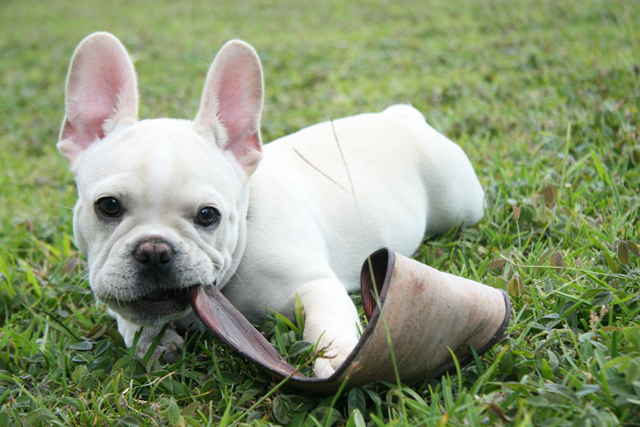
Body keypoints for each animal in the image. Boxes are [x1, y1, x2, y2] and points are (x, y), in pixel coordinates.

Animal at [58, 32, 484, 378]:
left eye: (208, 215)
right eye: (108, 206)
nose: (153, 250)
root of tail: (402, 117)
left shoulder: (313, 283)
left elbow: (326, 323)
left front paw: (338, 358)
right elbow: (127, 316)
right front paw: (152, 341)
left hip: (460, 201)